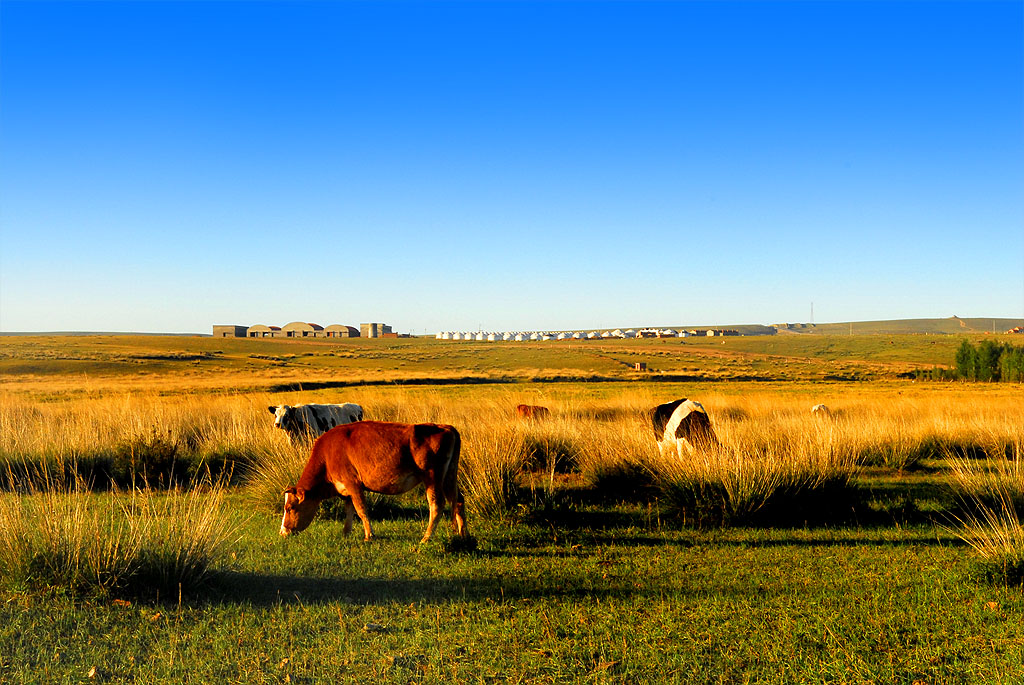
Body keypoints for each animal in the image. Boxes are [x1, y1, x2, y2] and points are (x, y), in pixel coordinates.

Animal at [278, 419, 466, 540]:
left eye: (289, 508)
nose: (282, 532)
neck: (327, 456)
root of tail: (445, 427)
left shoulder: (353, 484)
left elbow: (361, 510)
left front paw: (369, 535)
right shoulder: (345, 490)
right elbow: (349, 510)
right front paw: (346, 533)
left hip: (432, 477)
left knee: (437, 504)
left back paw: (426, 538)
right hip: (449, 476)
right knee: (458, 500)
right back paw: (463, 534)